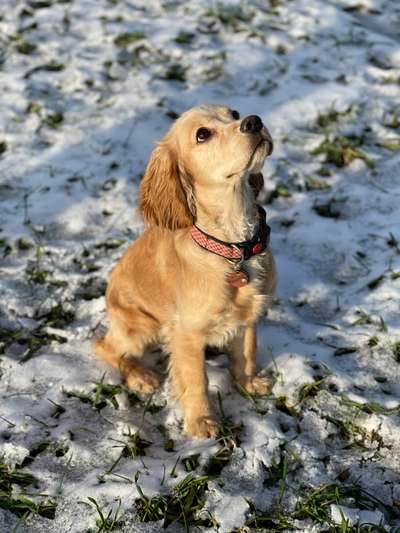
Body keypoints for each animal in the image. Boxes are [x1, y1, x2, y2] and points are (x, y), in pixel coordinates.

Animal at [94, 104, 276, 436]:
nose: (254, 121)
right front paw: (201, 422)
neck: (233, 246)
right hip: (140, 328)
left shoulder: (248, 316)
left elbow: (247, 353)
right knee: (104, 346)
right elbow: (196, 380)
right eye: (202, 134)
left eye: (234, 113)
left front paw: (248, 384)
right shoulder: (187, 334)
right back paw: (141, 376)